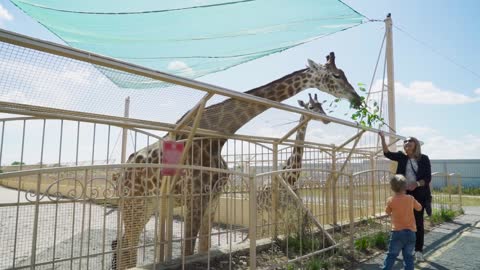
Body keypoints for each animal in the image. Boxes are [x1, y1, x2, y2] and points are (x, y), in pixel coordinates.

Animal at [113, 51, 360, 268]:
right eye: (336, 75)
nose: (355, 97)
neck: (217, 137)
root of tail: (120, 174)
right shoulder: (195, 198)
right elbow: (187, 252)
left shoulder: (212, 199)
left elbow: (202, 250)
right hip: (135, 203)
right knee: (125, 246)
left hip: (151, 204)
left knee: (124, 245)